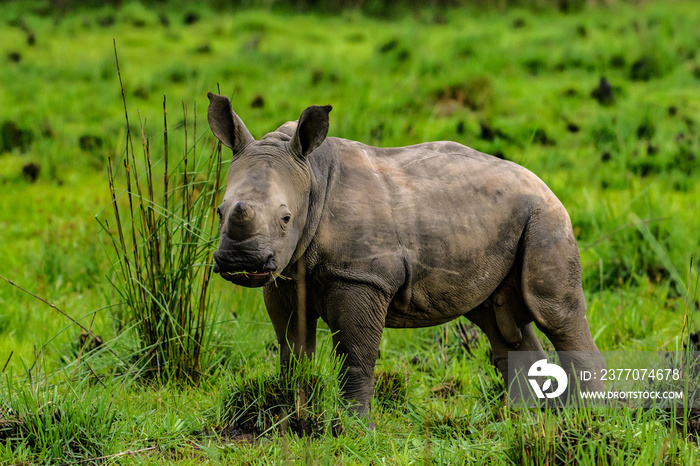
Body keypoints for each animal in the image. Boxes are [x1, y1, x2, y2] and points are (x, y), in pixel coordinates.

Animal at [206, 92, 600, 418]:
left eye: (286, 218)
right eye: (219, 211)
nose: (241, 262)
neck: (311, 177)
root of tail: (544, 184)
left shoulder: (362, 277)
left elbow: (355, 357)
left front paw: (353, 429)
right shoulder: (287, 275)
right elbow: (293, 352)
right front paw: (292, 421)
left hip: (545, 218)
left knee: (554, 312)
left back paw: (593, 419)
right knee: (496, 318)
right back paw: (520, 422)